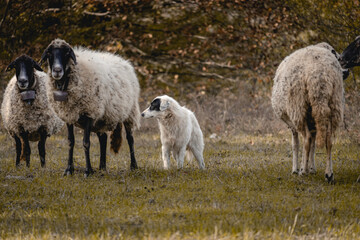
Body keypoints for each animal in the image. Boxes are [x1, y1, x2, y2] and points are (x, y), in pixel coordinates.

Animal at [40, 38, 140, 176]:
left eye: (67, 53)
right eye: (49, 53)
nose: (57, 70)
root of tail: (124, 61)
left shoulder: (89, 113)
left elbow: (86, 143)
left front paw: (87, 171)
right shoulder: (69, 115)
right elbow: (70, 142)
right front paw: (69, 169)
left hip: (130, 112)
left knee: (130, 138)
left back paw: (133, 166)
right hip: (102, 118)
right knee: (103, 138)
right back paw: (102, 167)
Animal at [272, 42, 344, 183]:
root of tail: (318, 73)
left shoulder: (292, 123)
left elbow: (296, 144)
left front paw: (297, 169)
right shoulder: (313, 123)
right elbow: (314, 145)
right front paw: (312, 168)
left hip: (299, 107)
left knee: (307, 139)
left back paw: (303, 171)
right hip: (333, 104)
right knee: (328, 140)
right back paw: (329, 174)